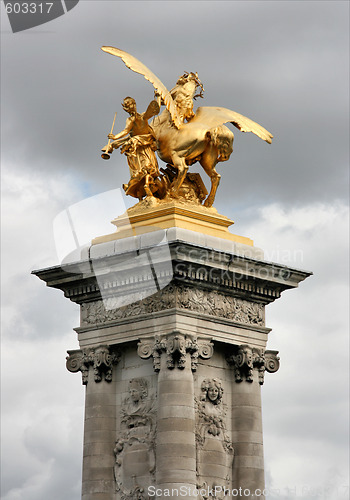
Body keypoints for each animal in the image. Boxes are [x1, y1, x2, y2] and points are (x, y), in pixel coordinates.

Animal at [101, 47, 274, 207]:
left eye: (177, 83)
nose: (160, 95)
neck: (170, 119)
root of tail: (208, 132)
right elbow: (125, 140)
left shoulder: (148, 136)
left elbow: (125, 140)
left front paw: (107, 148)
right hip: (207, 160)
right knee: (215, 176)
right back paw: (207, 203)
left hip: (178, 155)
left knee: (184, 169)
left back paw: (173, 194)